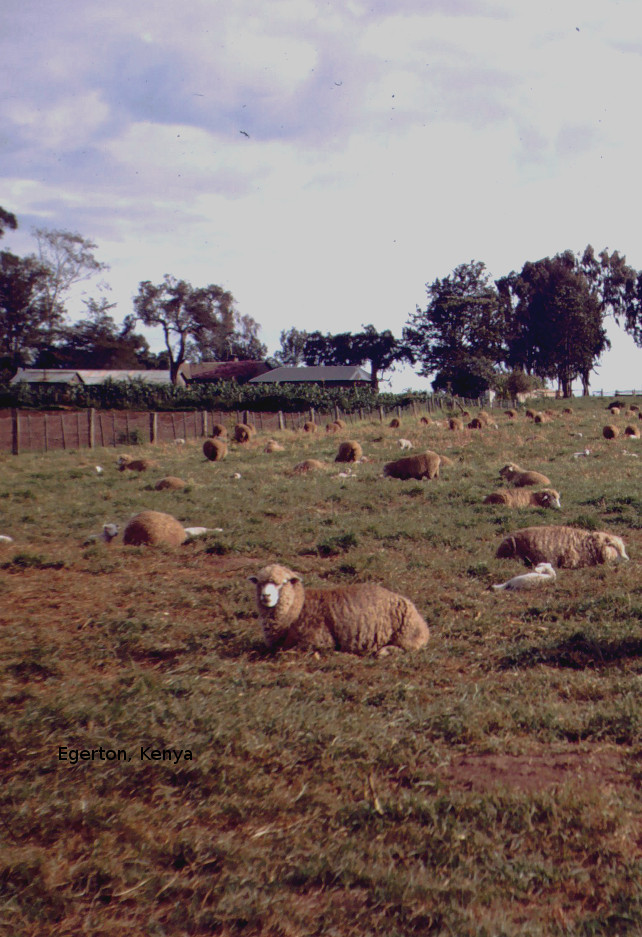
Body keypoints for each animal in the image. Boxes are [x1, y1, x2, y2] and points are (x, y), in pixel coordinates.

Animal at [248, 564, 428, 660]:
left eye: (283, 582)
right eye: (259, 583)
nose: (266, 596)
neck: (297, 609)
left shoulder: (318, 641)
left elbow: (287, 652)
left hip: (407, 636)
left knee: (407, 648)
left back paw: (383, 651)